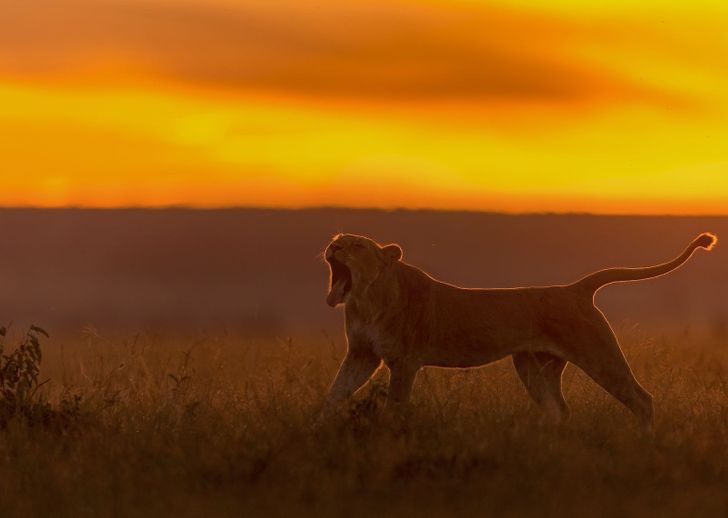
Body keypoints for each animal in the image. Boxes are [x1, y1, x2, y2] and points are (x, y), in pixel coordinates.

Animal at [322, 233, 716, 430]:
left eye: (358, 245)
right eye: (339, 238)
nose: (334, 246)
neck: (365, 299)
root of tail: (576, 288)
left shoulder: (405, 361)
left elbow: (394, 405)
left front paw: (389, 433)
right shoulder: (361, 354)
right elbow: (335, 391)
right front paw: (318, 426)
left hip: (598, 356)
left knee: (641, 398)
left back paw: (644, 442)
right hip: (533, 366)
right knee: (559, 410)